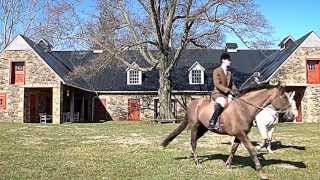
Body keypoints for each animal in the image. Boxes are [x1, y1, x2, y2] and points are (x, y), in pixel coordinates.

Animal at [161, 84, 296, 180]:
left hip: (204, 128)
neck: (244, 108)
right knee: (193, 142)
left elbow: (233, 149)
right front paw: (261, 172)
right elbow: (252, 150)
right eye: (284, 97)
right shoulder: (242, 134)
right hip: (195, 126)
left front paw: (228, 165)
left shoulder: (239, 135)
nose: (291, 116)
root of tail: (193, 103)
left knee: (194, 141)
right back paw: (197, 163)